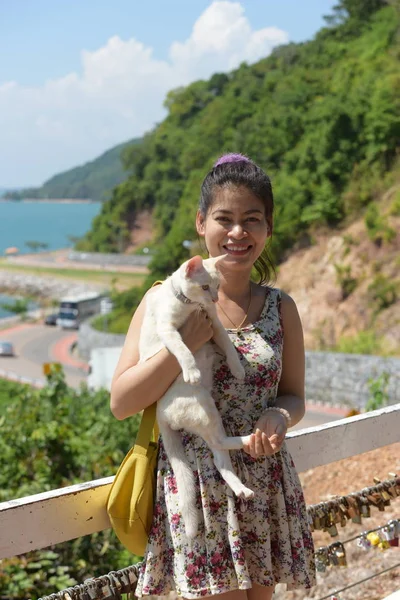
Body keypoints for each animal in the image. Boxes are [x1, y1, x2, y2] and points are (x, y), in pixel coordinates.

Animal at [139, 255, 253, 536]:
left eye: (217, 286)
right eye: (204, 287)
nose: (214, 298)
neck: (190, 307)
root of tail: (161, 414)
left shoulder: (214, 322)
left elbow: (228, 346)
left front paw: (238, 369)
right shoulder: (168, 329)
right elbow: (182, 349)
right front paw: (191, 370)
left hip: (209, 418)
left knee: (220, 458)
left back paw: (242, 488)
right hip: (205, 408)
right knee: (219, 445)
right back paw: (248, 440)